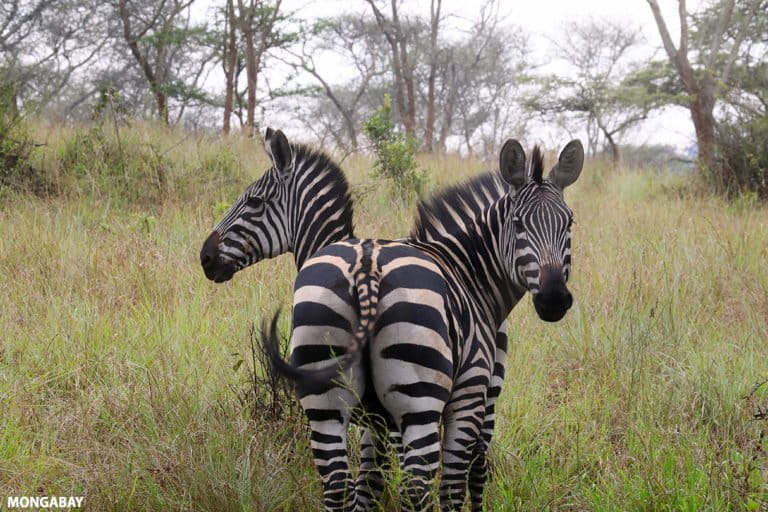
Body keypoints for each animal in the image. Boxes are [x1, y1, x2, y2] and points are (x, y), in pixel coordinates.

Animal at [262, 138, 584, 510]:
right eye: (517, 224)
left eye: (569, 223)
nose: (554, 299)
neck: (468, 271)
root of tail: (366, 268)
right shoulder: (468, 393)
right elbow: (452, 487)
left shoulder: (376, 419)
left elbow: (372, 479)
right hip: (420, 397)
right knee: (419, 488)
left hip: (324, 391)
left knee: (337, 484)